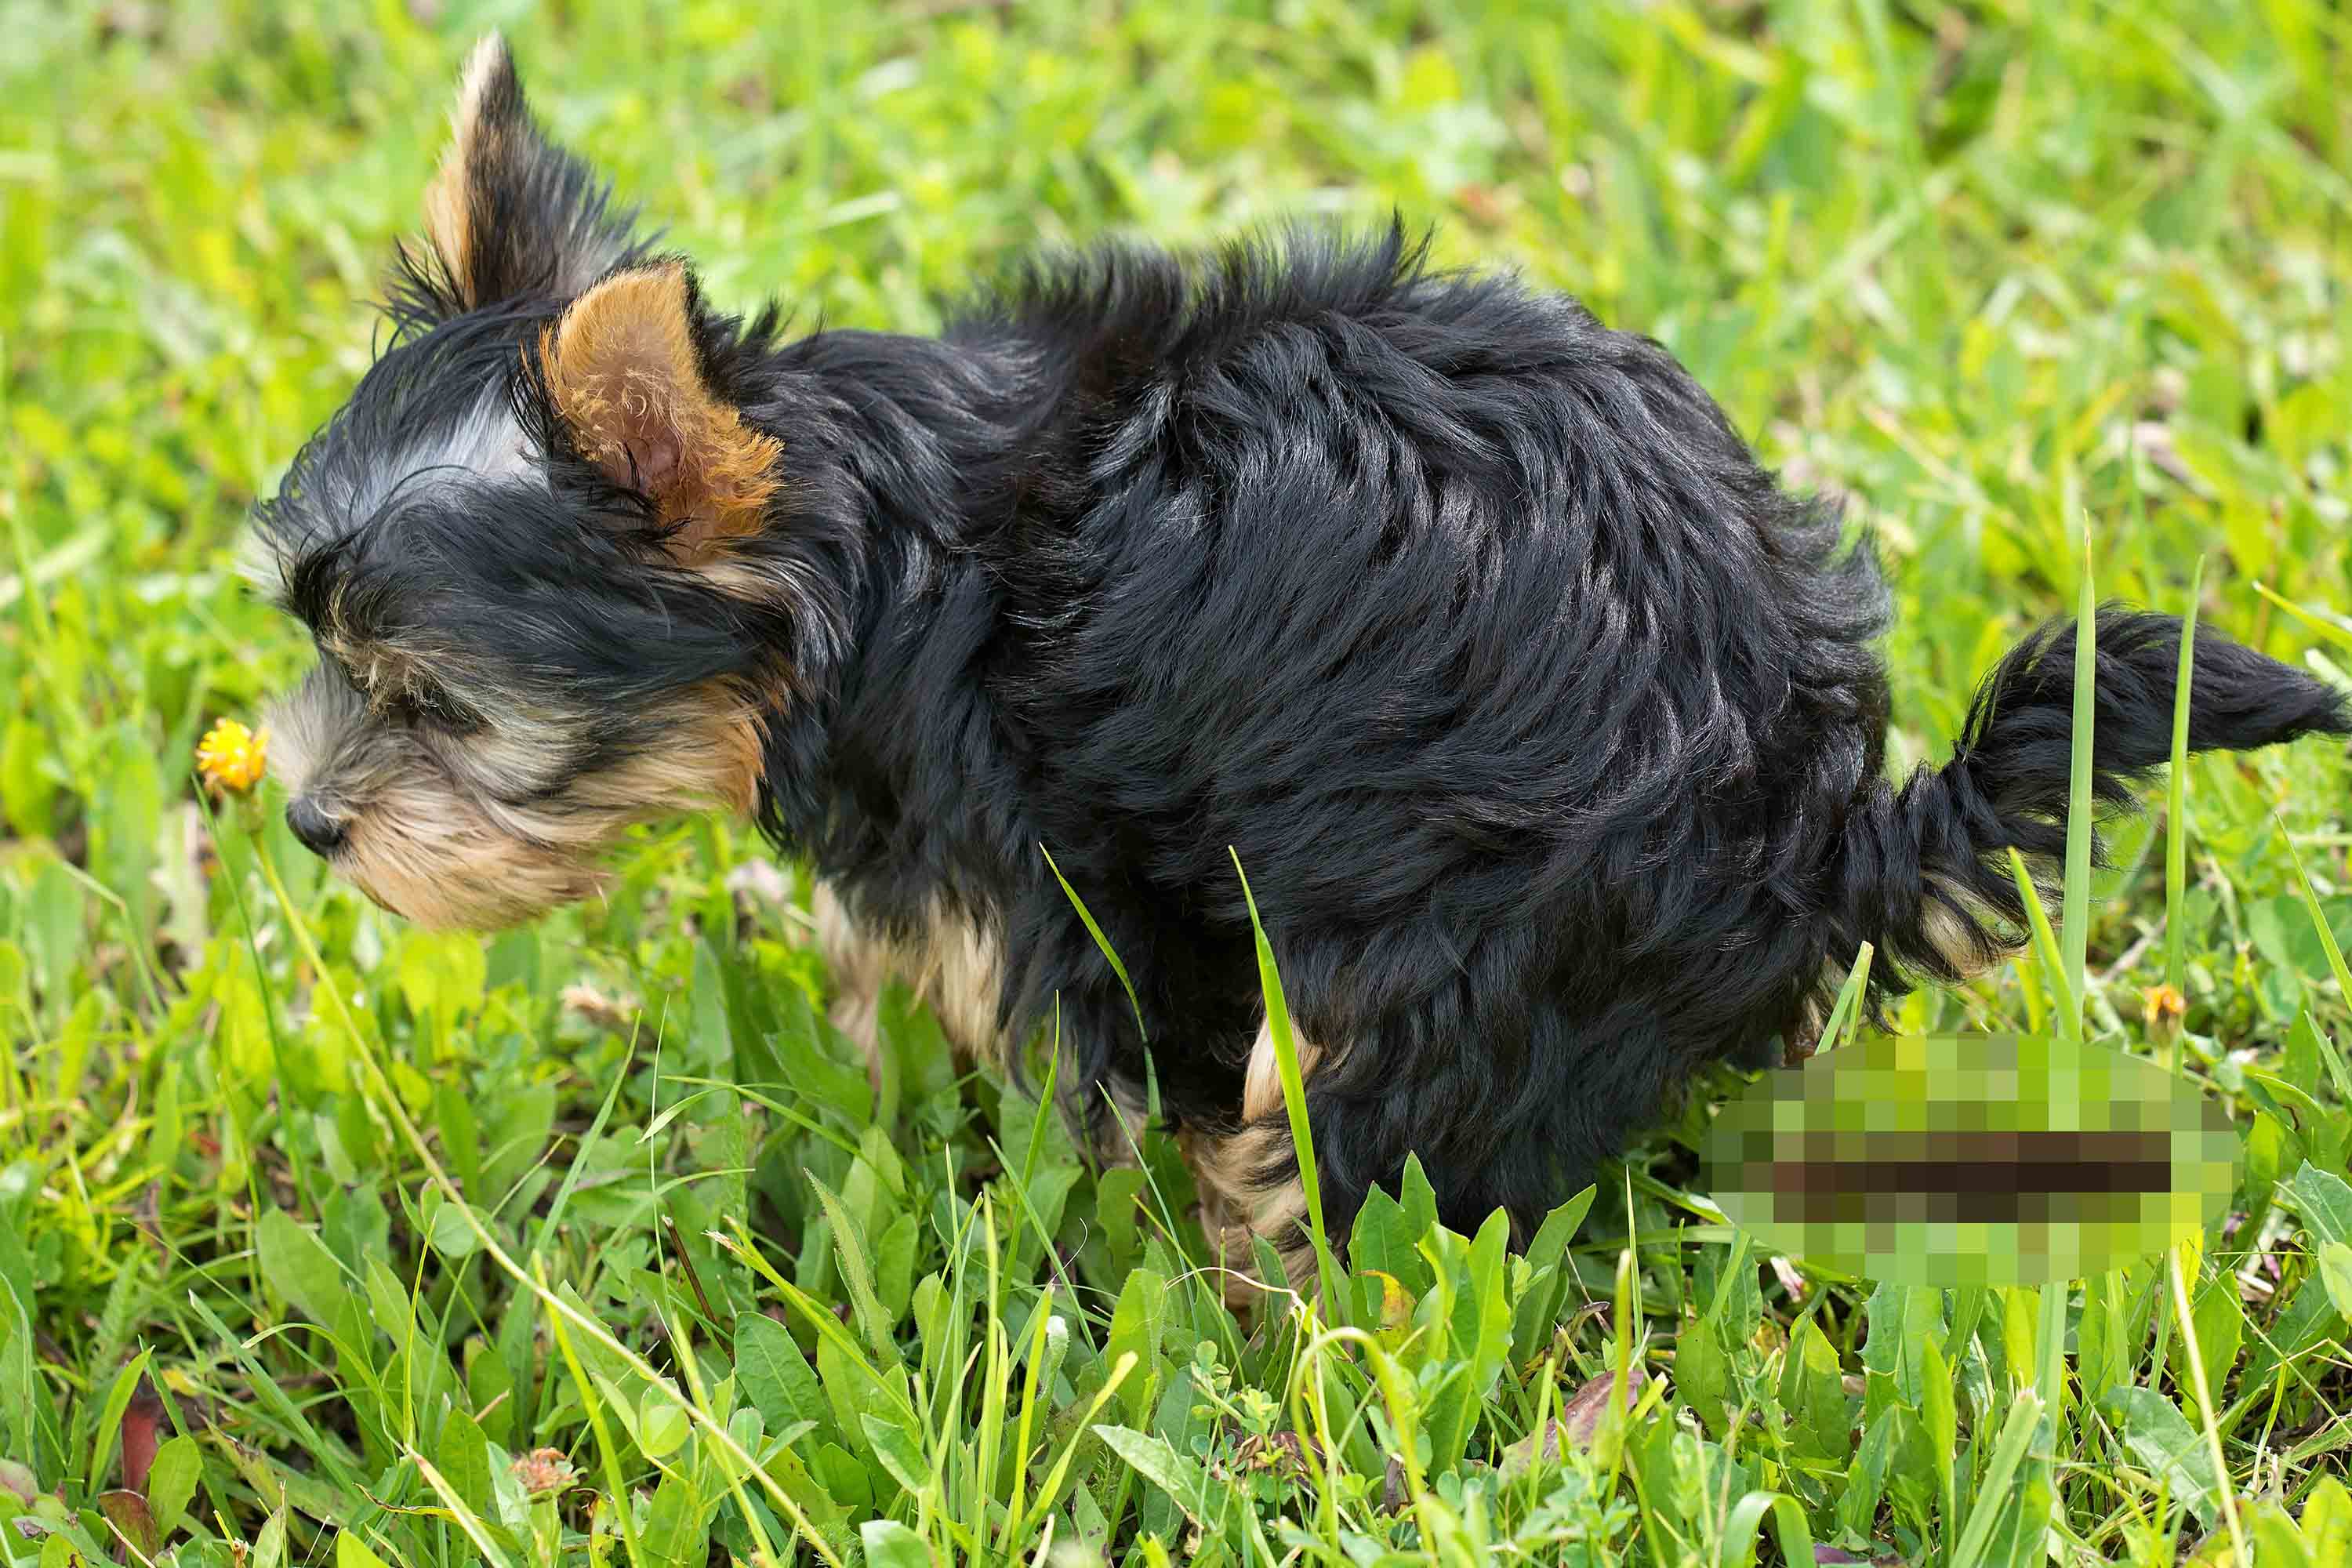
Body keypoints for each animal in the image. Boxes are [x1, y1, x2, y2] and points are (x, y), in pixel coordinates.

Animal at [248, 36, 2343, 1288]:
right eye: (322, 649)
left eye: (439, 702)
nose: (307, 822)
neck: (870, 546)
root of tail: (1820, 823)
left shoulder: (1056, 864)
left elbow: (1076, 1059)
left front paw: (1056, 1234)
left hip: (1454, 943)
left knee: (1358, 1136)